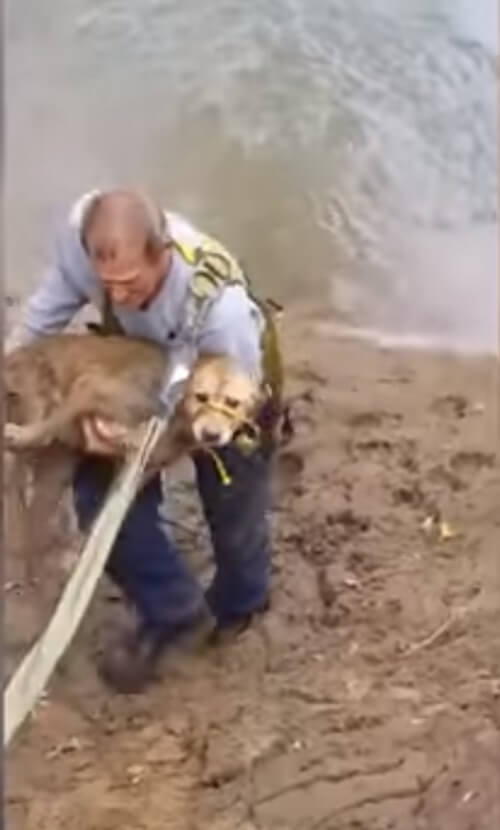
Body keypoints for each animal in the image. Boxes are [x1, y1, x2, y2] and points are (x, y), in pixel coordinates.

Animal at [3, 332, 260, 580]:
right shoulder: (91, 386)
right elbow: (47, 429)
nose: (211, 434)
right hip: (38, 402)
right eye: (201, 397)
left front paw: (84, 552)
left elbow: (103, 520)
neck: (177, 415)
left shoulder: (137, 469)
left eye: (233, 403)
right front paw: (24, 435)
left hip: (58, 470)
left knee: (35, 517)